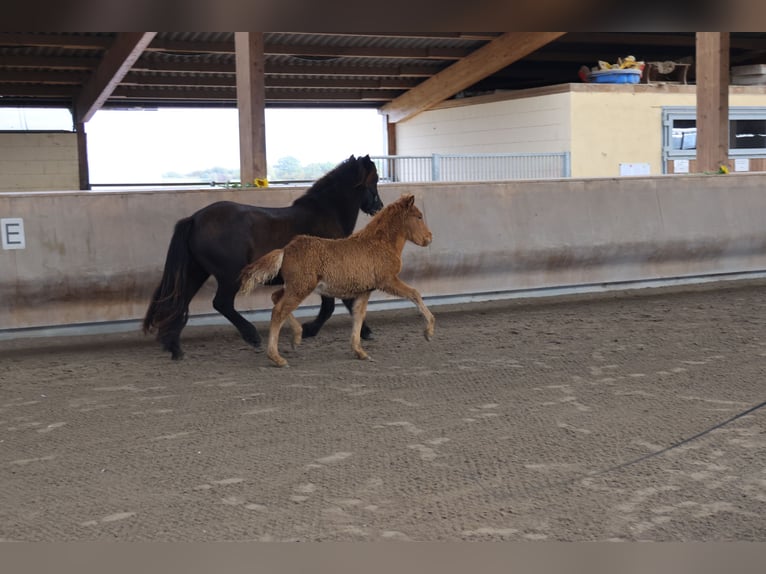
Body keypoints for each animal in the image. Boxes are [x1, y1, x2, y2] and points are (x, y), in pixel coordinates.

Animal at [142, 154, 383, 360]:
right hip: (230, 275)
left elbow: (342, 304)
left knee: (180, 302)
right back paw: (252, 337)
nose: (378, 206)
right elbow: (333, 306)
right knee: (221, 303)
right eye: (374, 179)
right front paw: (309, 331)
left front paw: (363, 332)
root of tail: (195, 218)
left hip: (197, 272)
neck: (324, 214)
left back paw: (175, 348)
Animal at [239, 194, 435, 367]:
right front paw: (428, 331)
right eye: (419, 216)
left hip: (295, 286)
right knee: (278, 311)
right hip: (301, 287)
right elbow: (415, 294)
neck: (380, 243)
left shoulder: (365, 290)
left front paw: (360, 352)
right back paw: (277, 358)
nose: (429, 238)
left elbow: (358, 315)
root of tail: (286, 250)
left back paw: (297, 337)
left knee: (276, 298)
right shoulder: (387, 281)